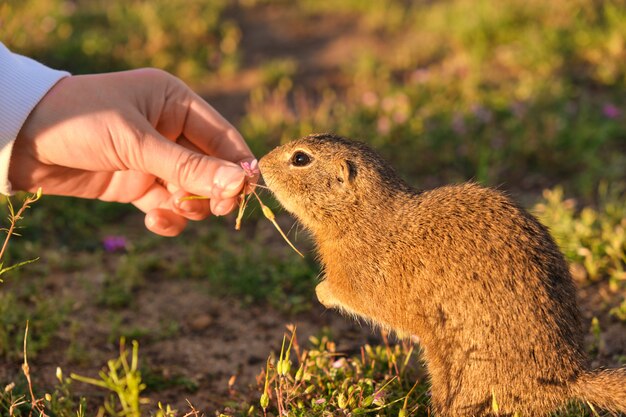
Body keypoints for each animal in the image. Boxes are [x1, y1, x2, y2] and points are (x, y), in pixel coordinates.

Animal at [258, 134, 624, 416]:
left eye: (300, 158)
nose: (260, 162)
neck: (361, 217)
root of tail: (570, 376)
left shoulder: (362, 283)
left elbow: (346, 294)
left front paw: (321, 292)